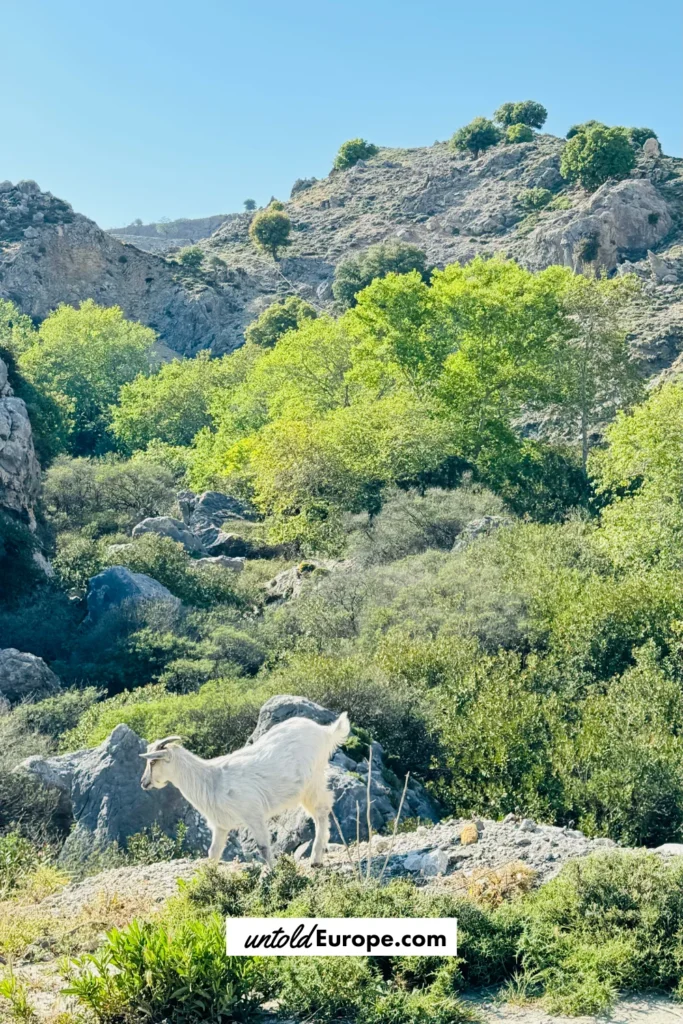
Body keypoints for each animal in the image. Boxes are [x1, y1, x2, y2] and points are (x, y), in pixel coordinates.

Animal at [139, 712, 350, 866]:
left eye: (152, 762)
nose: (143, 783)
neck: (211, 780)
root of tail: (325, 731)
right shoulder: (221, 825)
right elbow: (213, 852)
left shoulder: (253, 814)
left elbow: (263, 847)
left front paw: (274, 873)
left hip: (312, 782)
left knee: (322, 810)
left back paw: (316, 859)